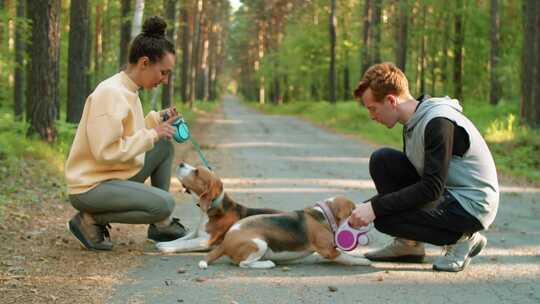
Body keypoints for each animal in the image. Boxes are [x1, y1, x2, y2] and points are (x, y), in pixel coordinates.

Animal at [198, 195, 372, 268]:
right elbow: (348, 257)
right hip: (259, 244)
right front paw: (363, 261)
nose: (369, 219)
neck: (324, 214)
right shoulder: (329, 250)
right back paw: (267, 263)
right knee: (244, 264)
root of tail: (226, 240)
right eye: (353, 211)